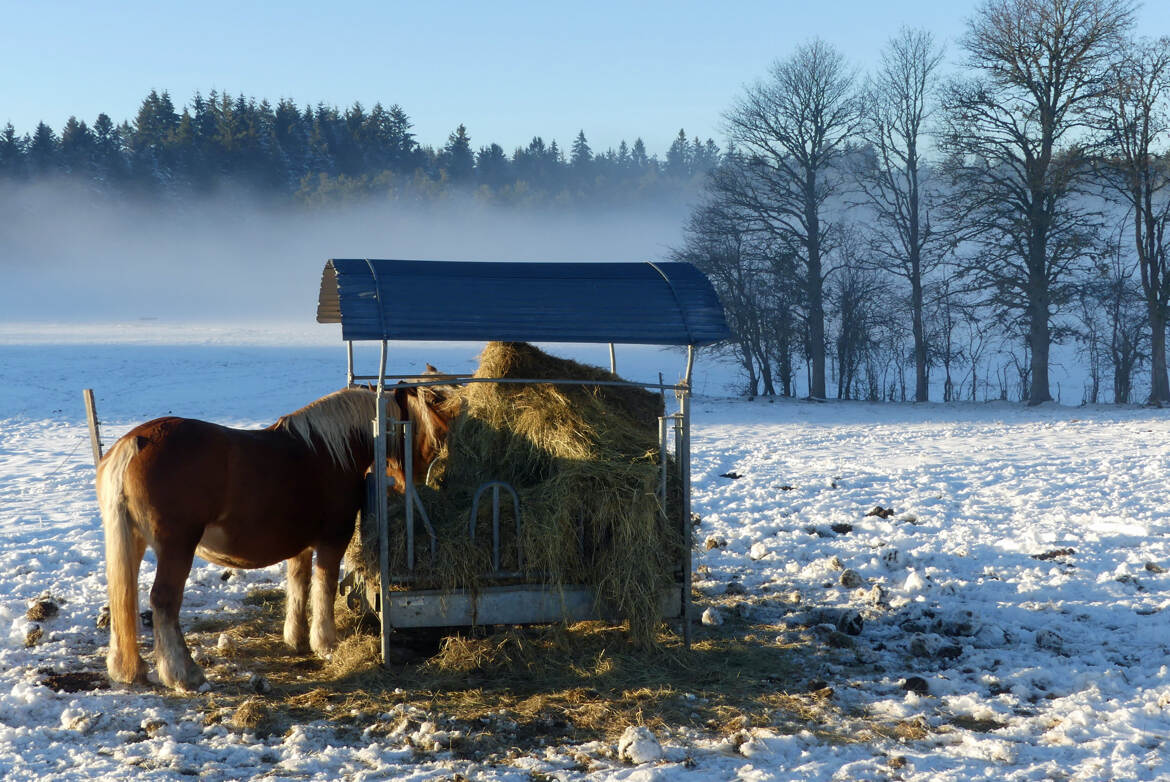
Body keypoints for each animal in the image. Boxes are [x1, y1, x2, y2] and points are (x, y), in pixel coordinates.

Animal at [95, 386, 442, 688]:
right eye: (424, 431)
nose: (419, 480)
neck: (331, 450)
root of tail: (136, 442)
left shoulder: (301, 545)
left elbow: (299, 585)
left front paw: (296, 639)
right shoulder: (333, 540)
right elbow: (325, 587)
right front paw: (326, 643)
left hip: (135, 542)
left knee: (126, 597)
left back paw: (129, 669)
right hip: (177, 547)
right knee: (164, 601)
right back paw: (184, 674)